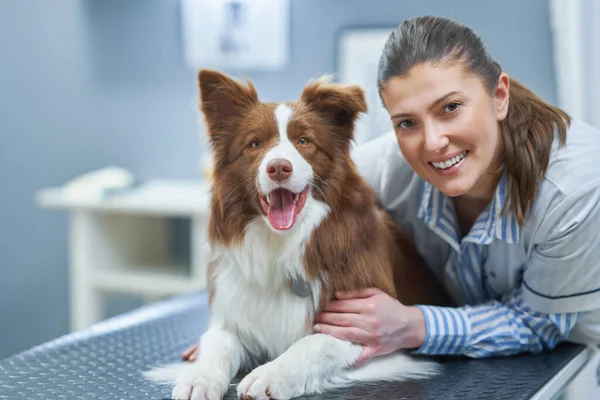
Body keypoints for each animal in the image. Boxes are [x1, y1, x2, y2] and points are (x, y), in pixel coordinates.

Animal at [143, 70, 448, 398]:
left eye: (304, 141)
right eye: (254, 144)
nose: (278, 167)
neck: (280, 244)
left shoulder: (367, 327)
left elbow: (312, 344)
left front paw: (271, 374)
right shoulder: (234, 315)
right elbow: (217, 344)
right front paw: (199, 377)